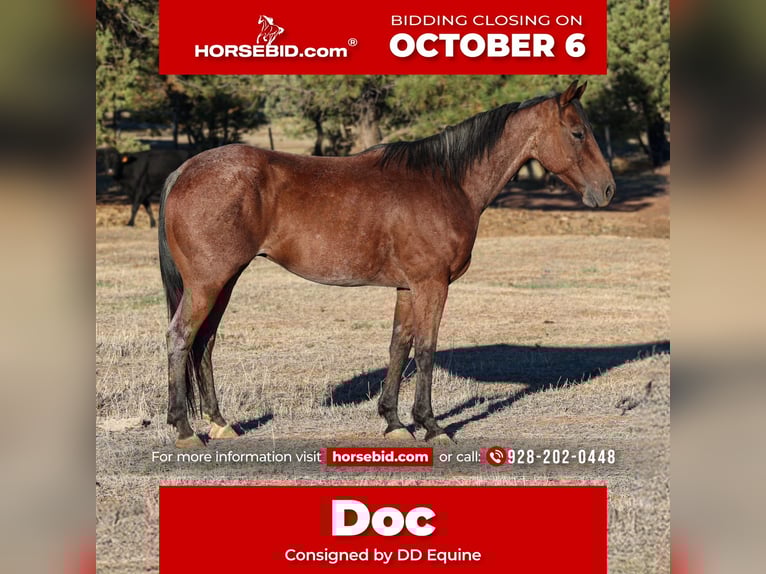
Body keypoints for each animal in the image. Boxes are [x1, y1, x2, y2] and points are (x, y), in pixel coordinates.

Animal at [158, 81, 615, 447]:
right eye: (578, 133)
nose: (608, 189)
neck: (445, 182)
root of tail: (184, 169)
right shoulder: (432, 285)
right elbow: (427, 348)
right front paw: (431, 425)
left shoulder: (407, 288)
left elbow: (399, 346)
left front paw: (394, 422)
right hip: (208, 283)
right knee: (181, 337)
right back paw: (185, 431)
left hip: (224, 281)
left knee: (205, 342)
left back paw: (220, 423)